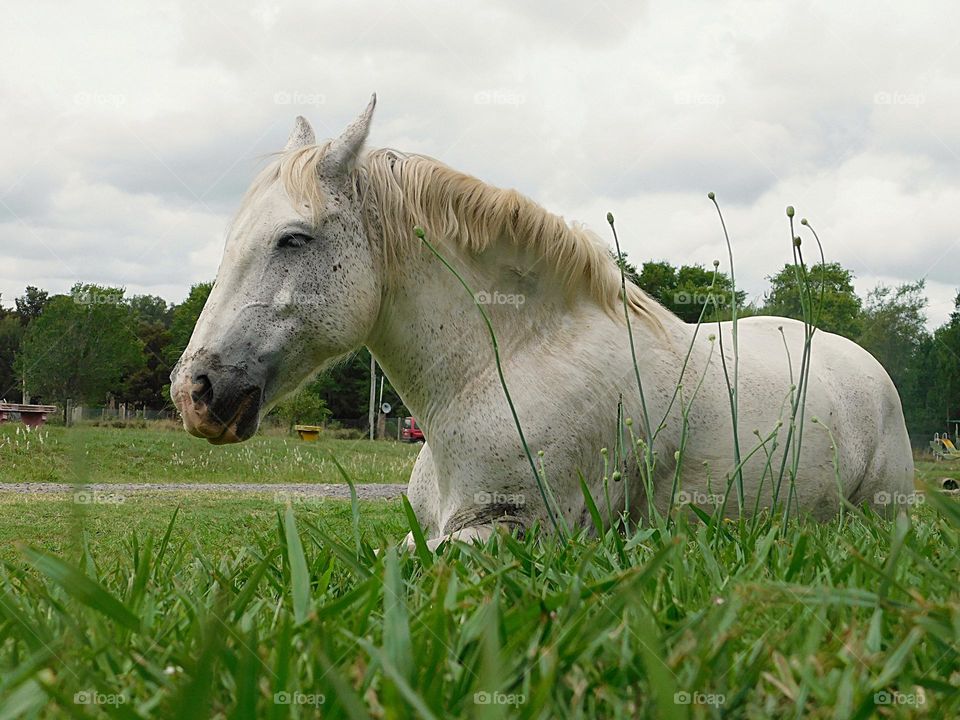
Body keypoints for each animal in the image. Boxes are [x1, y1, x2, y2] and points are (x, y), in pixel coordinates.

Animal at [171, 95, 916, 544]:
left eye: (293, 239)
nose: (195, 392)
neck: (511, 365)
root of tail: (868, 369)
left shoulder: (513, 531)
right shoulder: (422, 531)